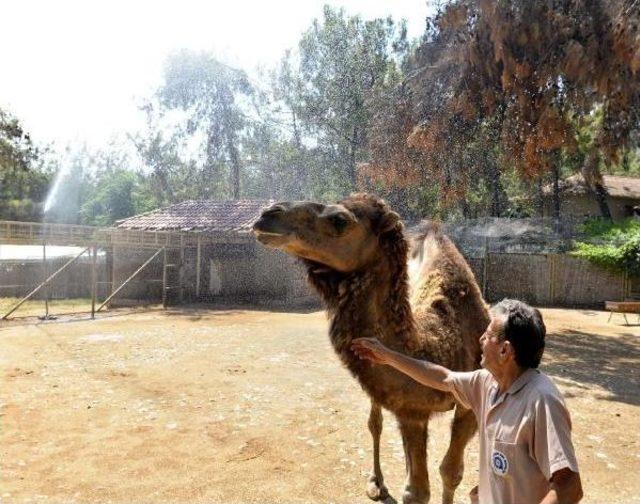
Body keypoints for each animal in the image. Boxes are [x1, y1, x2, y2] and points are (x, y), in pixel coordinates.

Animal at [252, 194, 488, 504]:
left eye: (339, 220)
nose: (267, 214)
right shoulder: (411, 410)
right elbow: (417, 491)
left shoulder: (467, 402)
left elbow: (450, 472)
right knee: (375, 422)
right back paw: (377, 482)